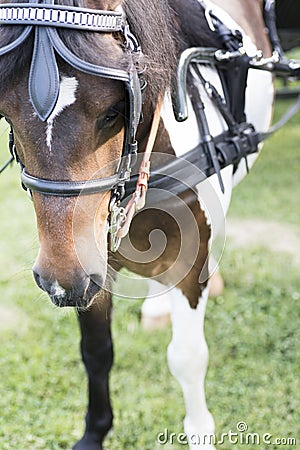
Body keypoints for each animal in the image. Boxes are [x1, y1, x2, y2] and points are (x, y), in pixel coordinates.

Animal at [0, 0, 276, 450]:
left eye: (114, 111)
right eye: (5, 111)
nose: (60, 279)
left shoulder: (188, 265)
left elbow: (187, 358)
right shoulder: (94, 269)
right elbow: (96, 350)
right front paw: (94, 432)